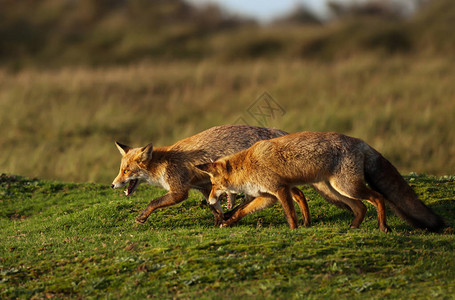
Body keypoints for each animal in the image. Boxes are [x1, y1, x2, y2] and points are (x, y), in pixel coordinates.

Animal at [112, 125, 312, 226]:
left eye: (126, 171)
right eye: (121, 170)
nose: (113, 185)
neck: (164, 163)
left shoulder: (179, 191)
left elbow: (153, 202)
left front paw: (142, 217)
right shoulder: (204, 185)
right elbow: (212, 205)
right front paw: (218, 220)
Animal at [197, 131, 446, 232]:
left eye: (214, 186)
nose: (208, 202)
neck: (248, 165)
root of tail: (362, 142)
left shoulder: (279, 189)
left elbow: (290, 214)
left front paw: (294, 230)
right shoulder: (267, 196)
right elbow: (242, 211)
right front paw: (228, 222)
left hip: (347, 187)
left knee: (377, 198)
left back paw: (383, 227)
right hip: (335, 189)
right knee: (361, 207)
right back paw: (353, 228)